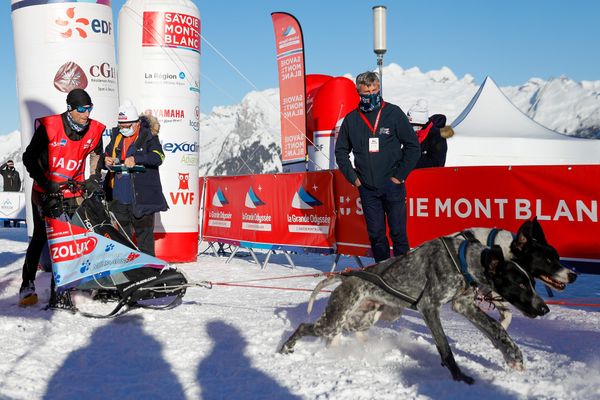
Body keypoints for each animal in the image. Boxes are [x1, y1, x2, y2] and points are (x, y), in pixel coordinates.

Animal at [278, 238, 552, 384]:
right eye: (519, 283)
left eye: (532, 282)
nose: (544, 308)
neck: (463, 260)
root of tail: (347, 277)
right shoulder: (429, 307)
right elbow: (445, 348)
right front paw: (459, 376)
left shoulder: (463, 305)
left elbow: (496, 328)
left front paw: (514, 355)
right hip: (336, 319)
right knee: (305, 326)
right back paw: (286, 348)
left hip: (361, 319)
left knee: (336, 332)